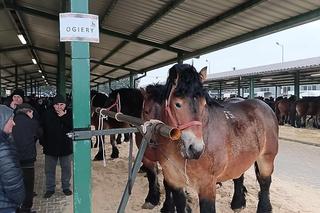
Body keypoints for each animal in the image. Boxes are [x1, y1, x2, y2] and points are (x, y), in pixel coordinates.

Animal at [152, 64, 278, 212]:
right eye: (177, 104)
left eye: (204, 104)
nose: (196, 149)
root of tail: (266, 107)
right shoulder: (174, 181)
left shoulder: (207, 185)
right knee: (239, 176)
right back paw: (237, 204)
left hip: (266, 158)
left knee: (265, 183)